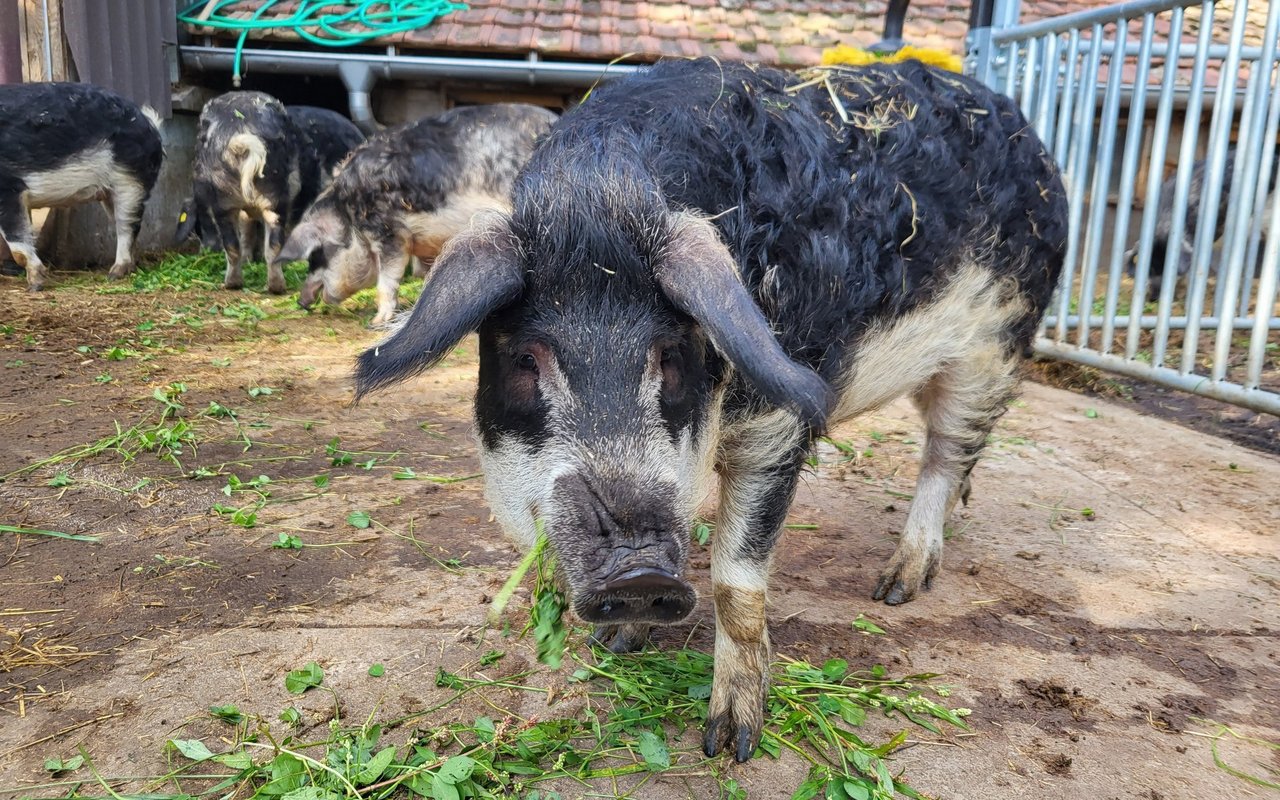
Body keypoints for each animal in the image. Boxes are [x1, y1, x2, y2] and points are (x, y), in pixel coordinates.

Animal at [0, 80, 162, 290]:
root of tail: (149, 122)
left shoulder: (9, 187)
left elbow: (17, 246)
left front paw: (35, 287)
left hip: (130, 181)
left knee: (127, 226)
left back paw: (114, 274)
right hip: (111, 191)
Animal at [185, 92, 325, 293]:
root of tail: (242, 135)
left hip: (225, 198)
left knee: (237, 245)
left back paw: (239, 284)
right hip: (268, 198)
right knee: (267, 245)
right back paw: (267, 286)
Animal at [275, 103, 555, 325]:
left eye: (316, 256)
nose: (300, 302)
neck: (350, 212)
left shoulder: (390, 232)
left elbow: (387, 278)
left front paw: (377, 322)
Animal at [353, 60, 1070, 762]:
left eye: (671, 355)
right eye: (528, 360)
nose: (636, 571)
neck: (599, 195)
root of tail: (1034, 142)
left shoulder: (778, 428)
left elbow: (735, 585)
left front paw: (730, 743)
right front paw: (615, 647)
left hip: (997, 343)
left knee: (947, 450)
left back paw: (897, 585)